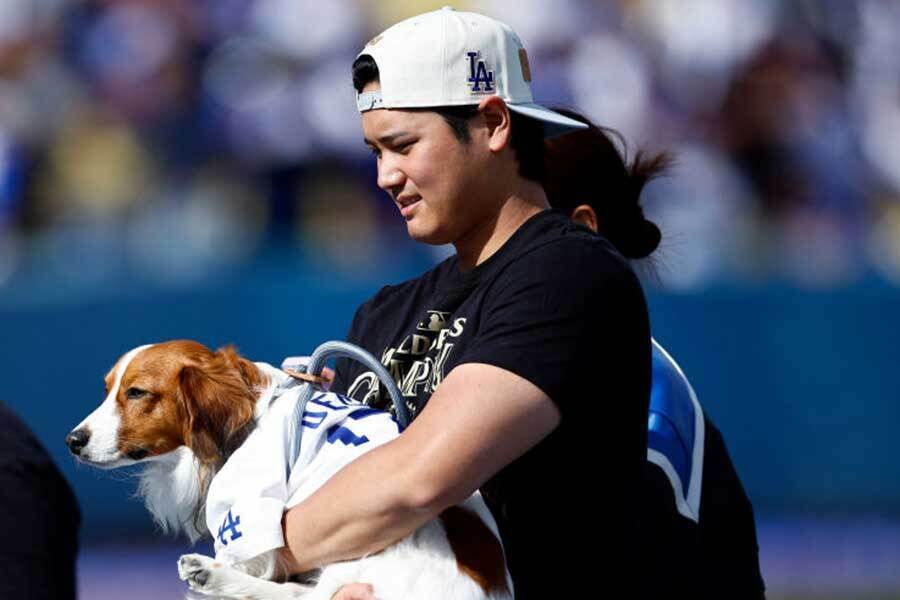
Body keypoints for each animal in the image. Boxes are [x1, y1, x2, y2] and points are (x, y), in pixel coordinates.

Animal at [65, 342, 512, 600]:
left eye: (137, 393)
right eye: (108, 389)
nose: (73, 439)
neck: (248, 416)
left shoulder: (248, 509)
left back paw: (210, 575)